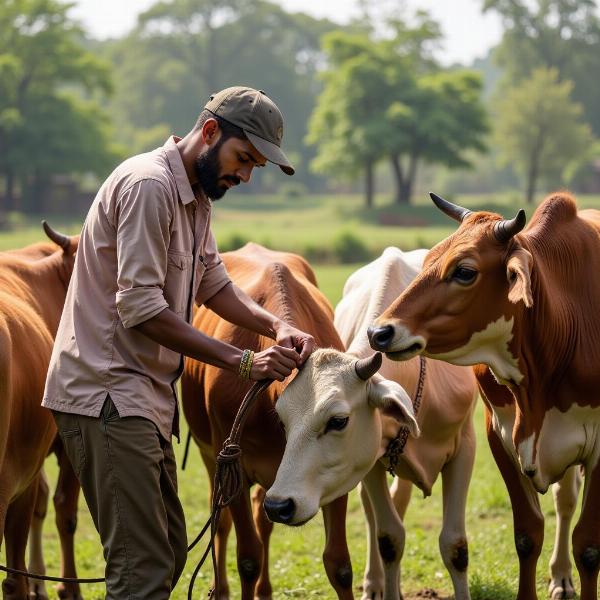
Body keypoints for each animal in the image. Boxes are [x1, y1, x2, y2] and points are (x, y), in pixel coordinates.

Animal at [180, 244, 354, 600]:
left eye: (339, 421)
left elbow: (339, 564)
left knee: (263, 517)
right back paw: (220, 589)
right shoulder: (233, 465)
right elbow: (248, 556)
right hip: (210, 454)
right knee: (221, 521)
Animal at [266, 247, 478, 600]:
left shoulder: (465, 447)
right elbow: (389, 538)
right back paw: (375, 582)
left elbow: (455, 546)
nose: (277, 504)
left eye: (338, 421)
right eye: (282, 421)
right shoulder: (369, 462)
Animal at [370, 192, 600, 600]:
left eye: (464, 271)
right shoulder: (501, 437)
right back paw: (559, 575)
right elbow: (528, 534)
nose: (380, 332)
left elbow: (588, 545)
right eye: (428, 261)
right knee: (564, 499)